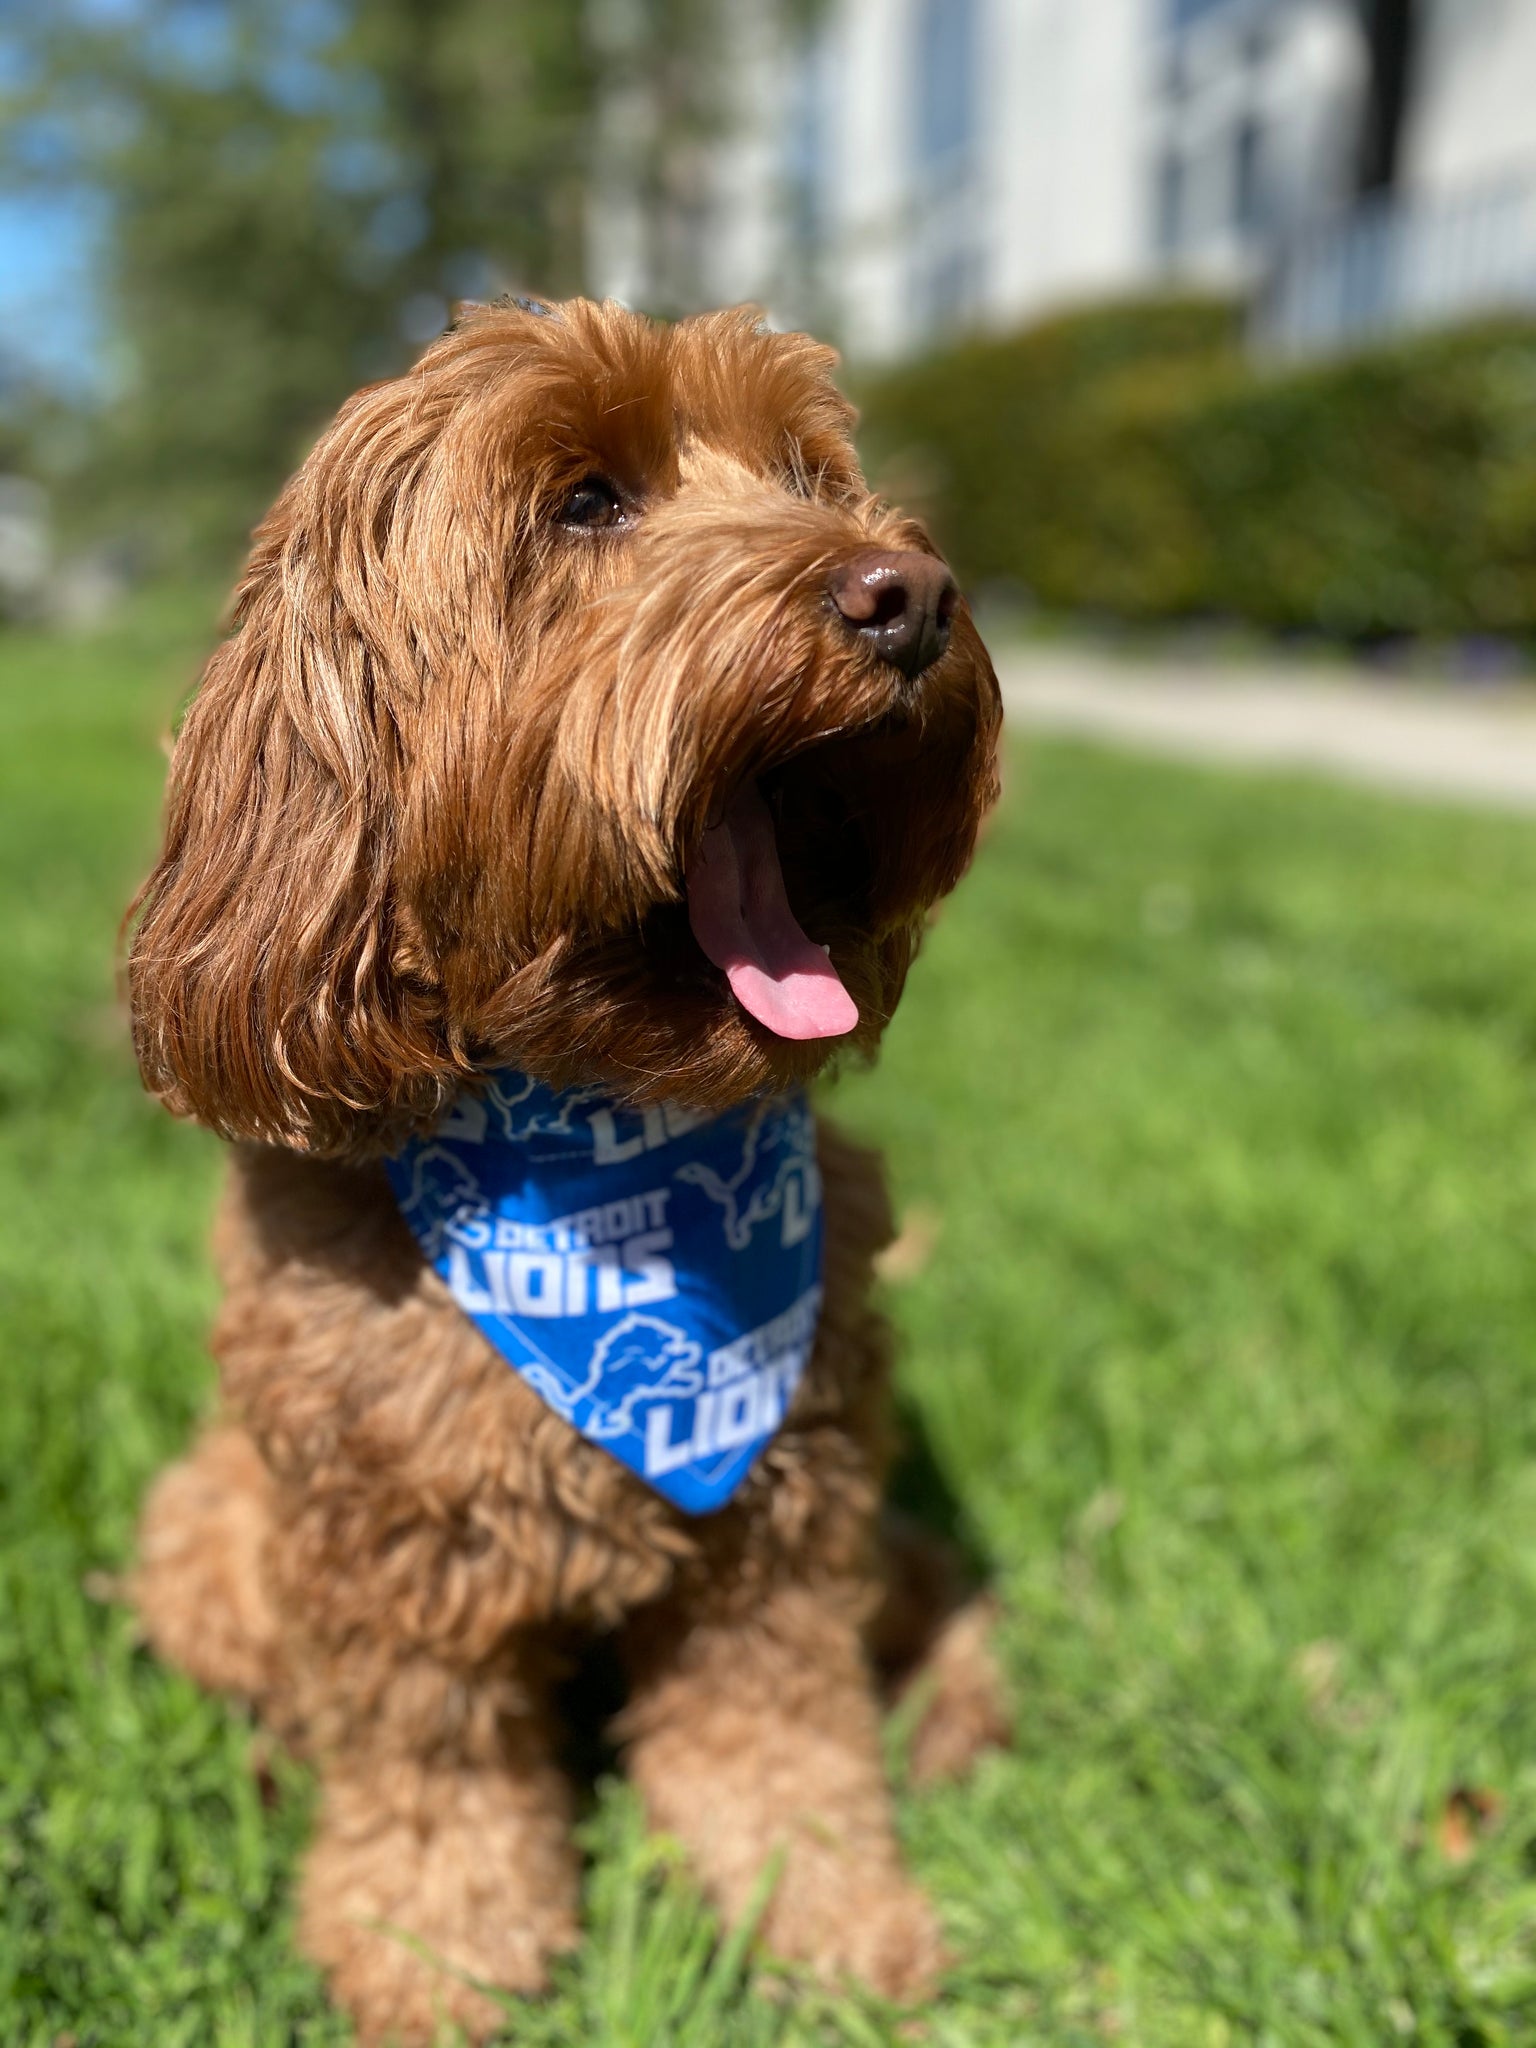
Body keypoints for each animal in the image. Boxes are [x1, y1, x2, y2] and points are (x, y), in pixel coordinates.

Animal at [129, 296, 1011, 2039]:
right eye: (587, 502)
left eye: (811, 475)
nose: (911, 595)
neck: (608, 1161)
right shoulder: (393, 1550)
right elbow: (434, 1775)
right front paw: (435, 1957)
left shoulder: (785, 1520)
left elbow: (779, 1741)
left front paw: (830, 1921)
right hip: (206, 1535)